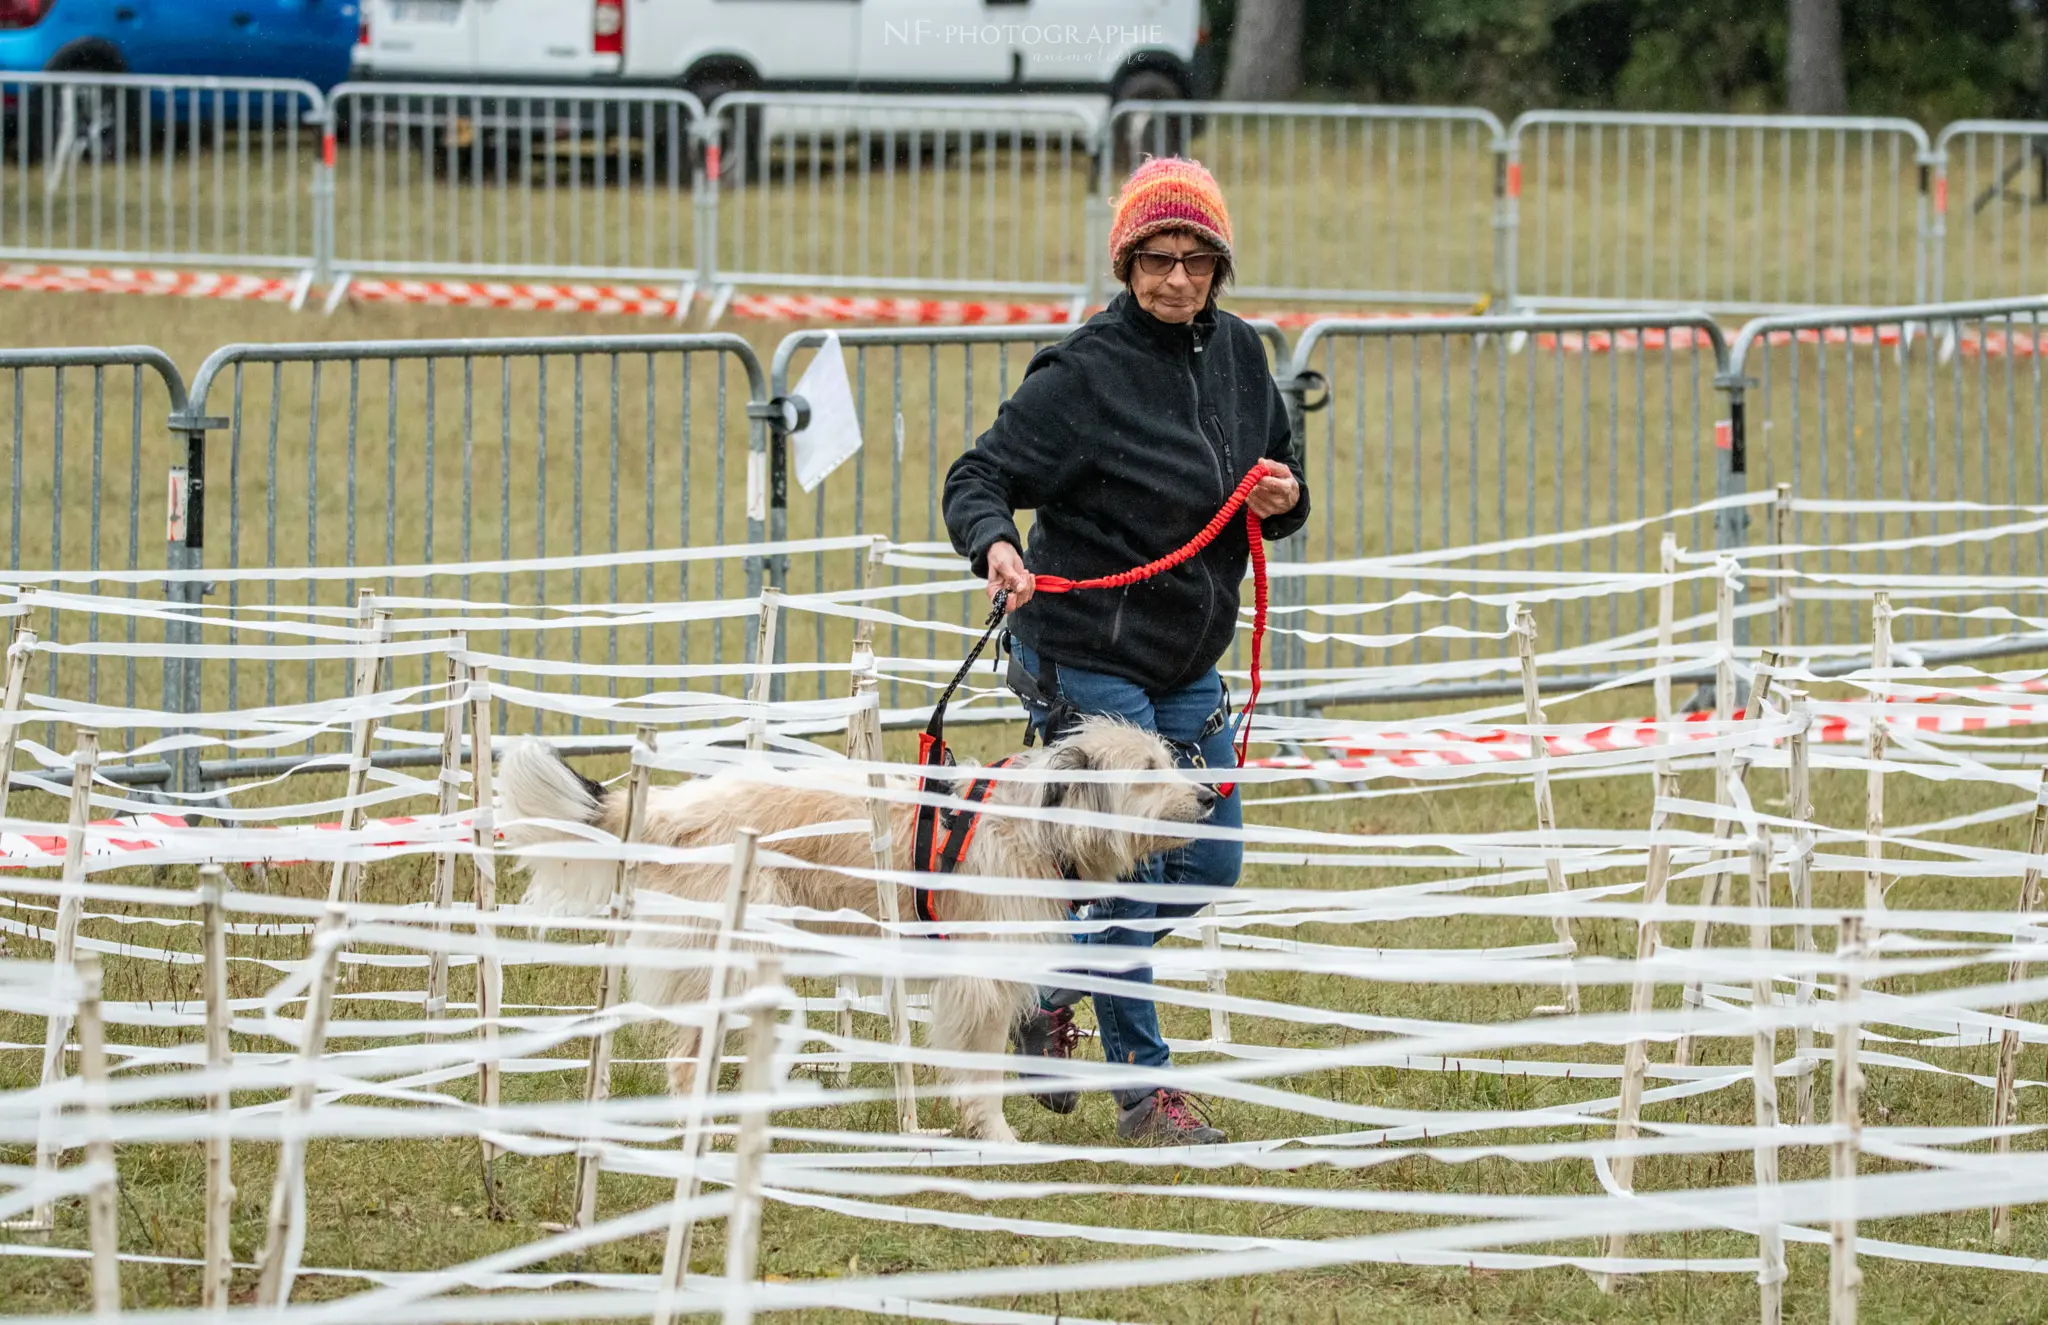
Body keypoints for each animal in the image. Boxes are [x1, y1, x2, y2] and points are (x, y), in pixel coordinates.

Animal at [495, 720, 1212, 1146]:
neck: (1039, 822)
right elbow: (981, 1074)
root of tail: (673, 807)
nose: (1210, 796)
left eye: (1168, 758)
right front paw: (997, 1139)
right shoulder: (978, 981)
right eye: (1147, 770)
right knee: (684, 1061)